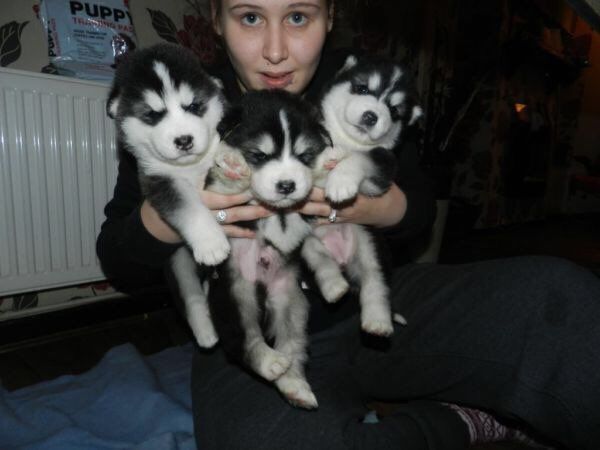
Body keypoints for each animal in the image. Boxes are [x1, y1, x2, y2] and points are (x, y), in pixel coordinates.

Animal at [206, 89, 338, 410]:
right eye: (259, 156)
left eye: (303, 155)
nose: (287, 185)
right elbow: (227, 185)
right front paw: (231, 163)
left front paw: (326, 162)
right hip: (234, 295)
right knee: (243, 340)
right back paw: (268, 362)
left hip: (293, 302)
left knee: (292, 345)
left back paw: (295, 385)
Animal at [310, 53, 422, 334]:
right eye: (362, 89)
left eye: (394, 111)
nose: (372, 116)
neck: (347, 139)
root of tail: (342, 258)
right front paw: (326, 155)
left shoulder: (383, 168)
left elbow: (360, 158)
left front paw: (340, 180)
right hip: (304, 243)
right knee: (318, 260)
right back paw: (334, 287)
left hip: (372, 245)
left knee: (376, 281)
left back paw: (378, 321)